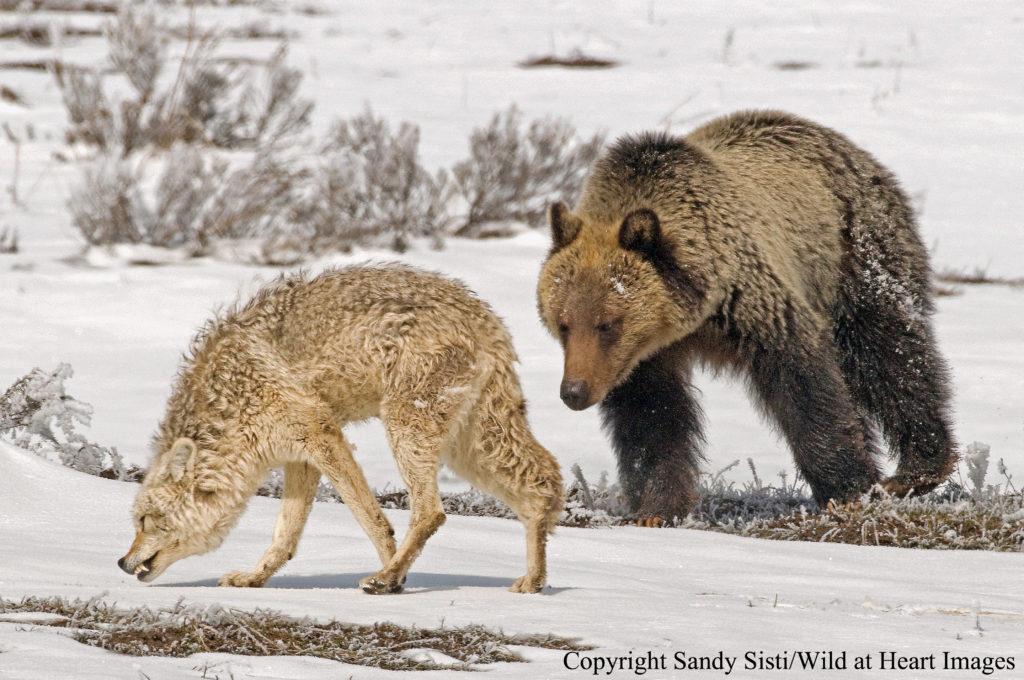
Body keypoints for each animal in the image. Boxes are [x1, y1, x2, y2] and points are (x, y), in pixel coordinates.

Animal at [540, 109, 954, 520]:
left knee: (891, 355)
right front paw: (656, 508)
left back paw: (919, 467)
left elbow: (805, 387)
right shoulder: (641, 360)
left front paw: (850, 490)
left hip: (854, 254)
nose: (574, 391)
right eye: (562, 323)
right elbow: (652, 419)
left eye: (608, 323)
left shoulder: (752, 302)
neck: (694, 317)